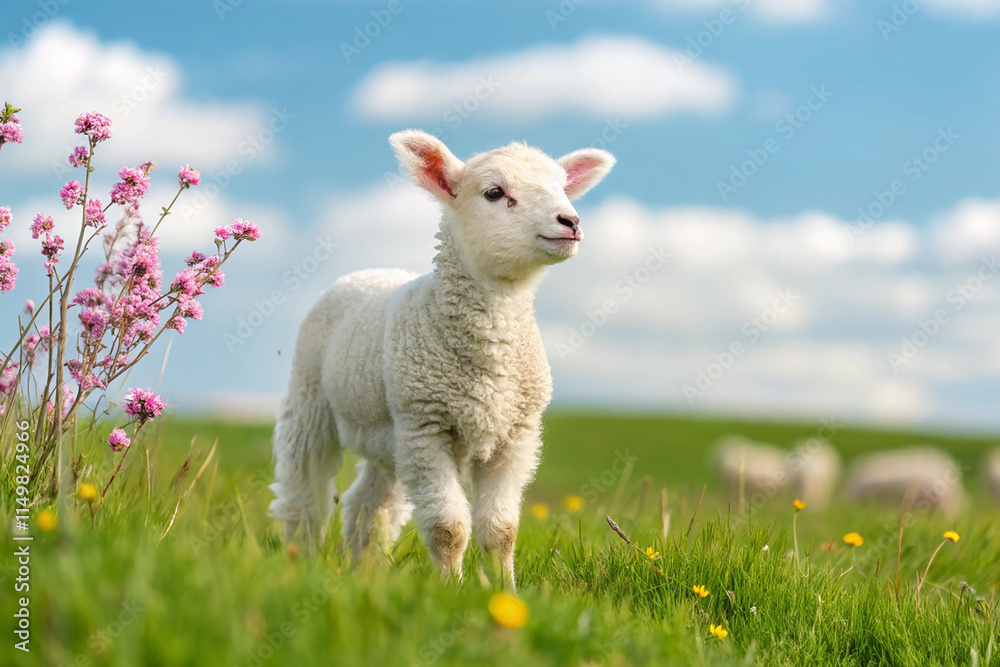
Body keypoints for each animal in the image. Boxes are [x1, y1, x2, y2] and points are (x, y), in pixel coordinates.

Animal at [268, 130, 615, 586]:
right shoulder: (427, 427)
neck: (492, 361)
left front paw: (503, 590)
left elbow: (502, 530)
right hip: (313, 400)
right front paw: (451, 590)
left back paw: (367, 572)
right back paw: (301, 561)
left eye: (562, 187)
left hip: (390, 438)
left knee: (367, 502)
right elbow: (449, 528)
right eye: (494, 192)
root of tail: (370, 272)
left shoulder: (516, 435)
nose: (570, 221)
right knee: (305, 495)